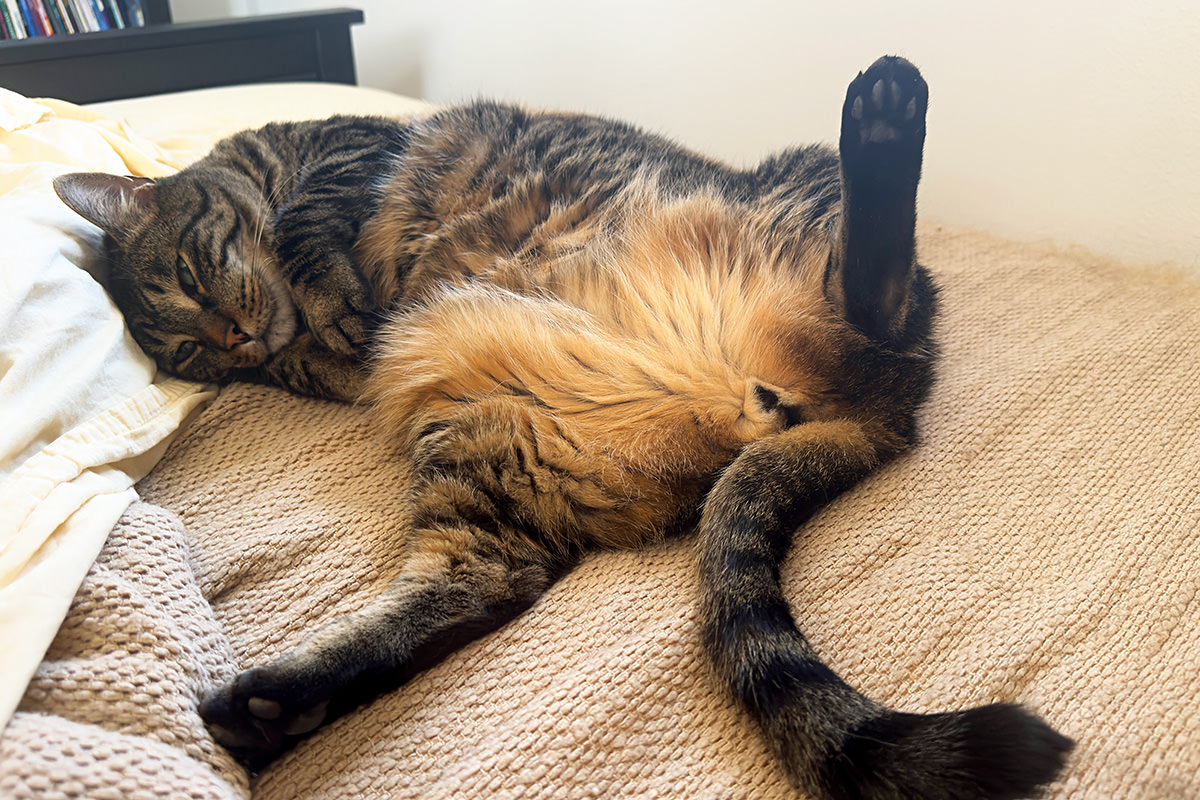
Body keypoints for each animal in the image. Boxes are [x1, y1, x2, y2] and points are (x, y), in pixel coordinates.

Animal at [56, 57, 1075, 800]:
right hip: (486, 442)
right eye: (188, 356)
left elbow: (310, 230)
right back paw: (276, 707)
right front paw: (330, 330)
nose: (231, 339)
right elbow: (324, 346)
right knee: (486, 580)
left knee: (877, 290)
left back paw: (885, 117)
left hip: (807, 206)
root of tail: (894, 411)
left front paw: (329, 295)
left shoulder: (349, 159)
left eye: (191, 275)